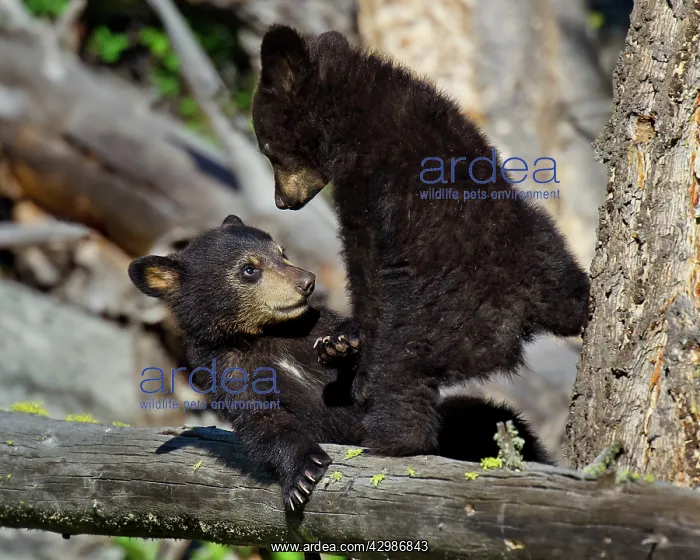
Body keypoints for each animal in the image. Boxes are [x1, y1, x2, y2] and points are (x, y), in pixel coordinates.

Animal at [129, 217, 551, 511]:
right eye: (249, 269)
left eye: (282, 252)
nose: (307, 280)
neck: (265, 337)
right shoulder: (225, 368)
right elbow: (262, 422)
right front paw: (301, 473)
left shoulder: (313, 324)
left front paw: (341, 347)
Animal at [251, 25, 590, 457]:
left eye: (268, 150)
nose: (282, 201)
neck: (352, 110)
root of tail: (517, 321)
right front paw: (342, 341)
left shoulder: (368, 184)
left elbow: (366, 265)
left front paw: (354, 343)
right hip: (545, 250)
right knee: (569, 288)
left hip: (431, 323)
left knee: (402, 373)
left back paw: (389, 434)